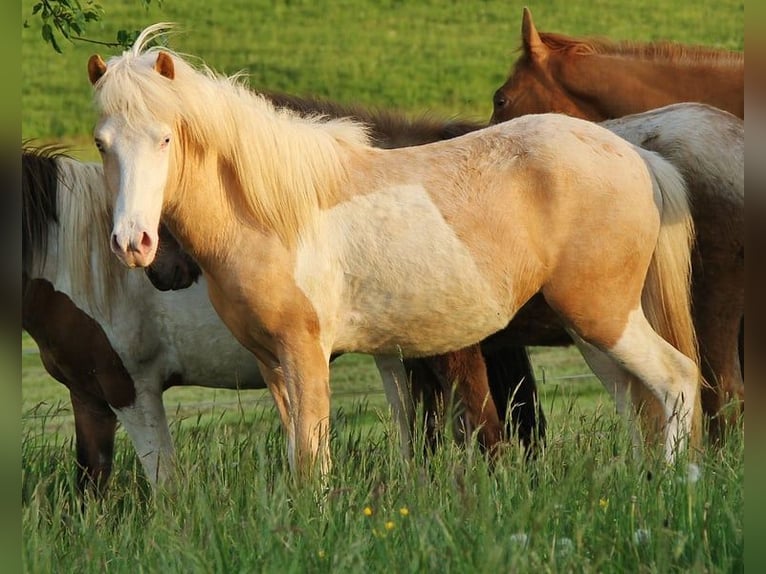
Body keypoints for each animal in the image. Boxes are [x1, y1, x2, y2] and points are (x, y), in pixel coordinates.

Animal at [88, 24, 704, 480]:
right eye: (101, 144)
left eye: (166, 137)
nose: (135, 245)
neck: (275, 213)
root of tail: (633, 155)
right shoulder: (271, 362)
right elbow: (296, 453)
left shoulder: (307, 355)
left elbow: (312, 461)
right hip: (590, 330)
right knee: (635, 400)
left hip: (604, 317)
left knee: (676, 380)